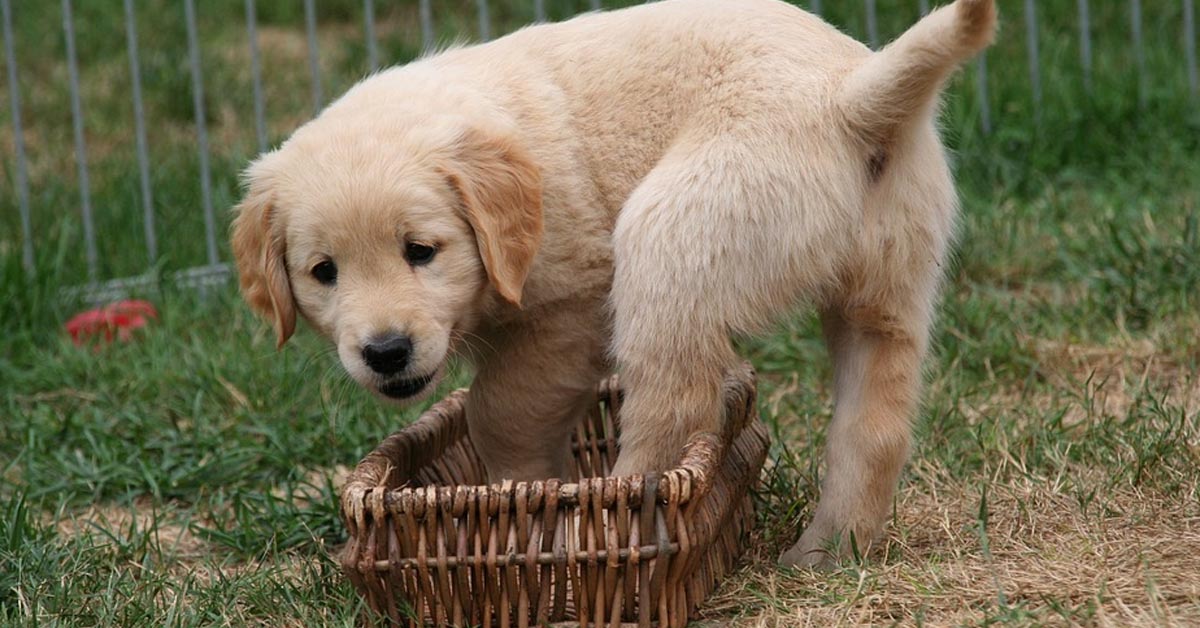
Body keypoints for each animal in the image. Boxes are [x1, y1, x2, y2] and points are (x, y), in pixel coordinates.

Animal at [231, 0, 993, 569]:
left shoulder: (571, 307)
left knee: (671, 404)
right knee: (874, 428)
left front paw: (523, 489)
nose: (386, 353)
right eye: (323, 273)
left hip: (669, 237)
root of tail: (846, 100)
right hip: (889, 287)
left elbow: (499, 407)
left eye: (421, 251)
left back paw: (610, 517)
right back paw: (828, 551)